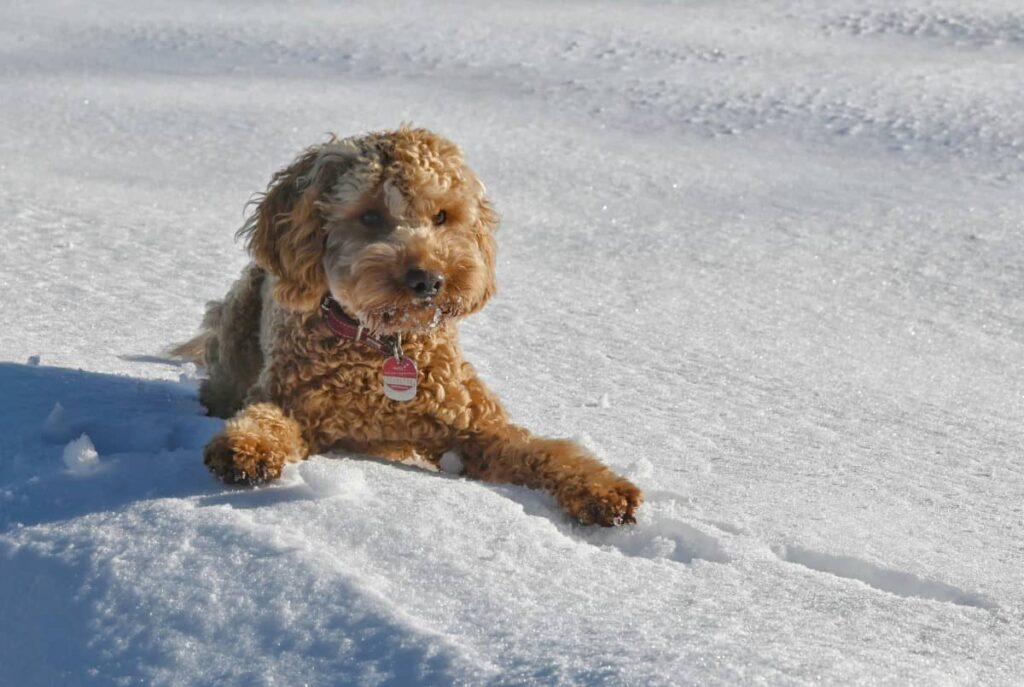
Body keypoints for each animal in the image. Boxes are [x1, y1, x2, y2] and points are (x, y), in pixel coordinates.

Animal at [174, 127, 638, 528]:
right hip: (236, 336)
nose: (428, 280)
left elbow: (546, 452)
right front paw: (247, 448)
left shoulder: (478, 428)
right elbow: (265, 419)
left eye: (442, 216)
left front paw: (601, 489)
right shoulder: (288, 399)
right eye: (370, 216)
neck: (381, 347)